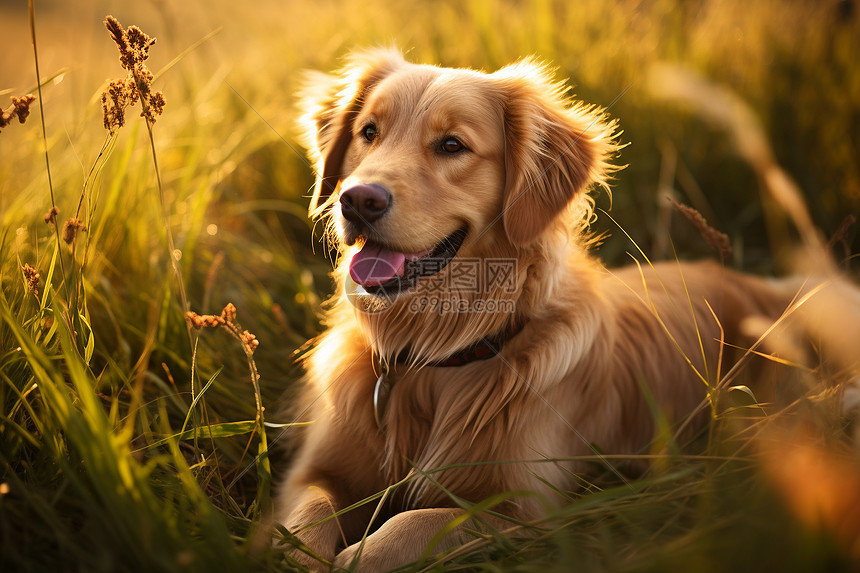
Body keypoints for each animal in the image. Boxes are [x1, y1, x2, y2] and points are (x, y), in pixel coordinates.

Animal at [276, 48, 852, 568]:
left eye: (452, 145)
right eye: (369, 132)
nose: (356, 200)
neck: (433, 357)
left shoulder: (526, 513)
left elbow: (411, 525)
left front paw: (360, 554)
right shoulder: (314, 472)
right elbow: (307, 521)